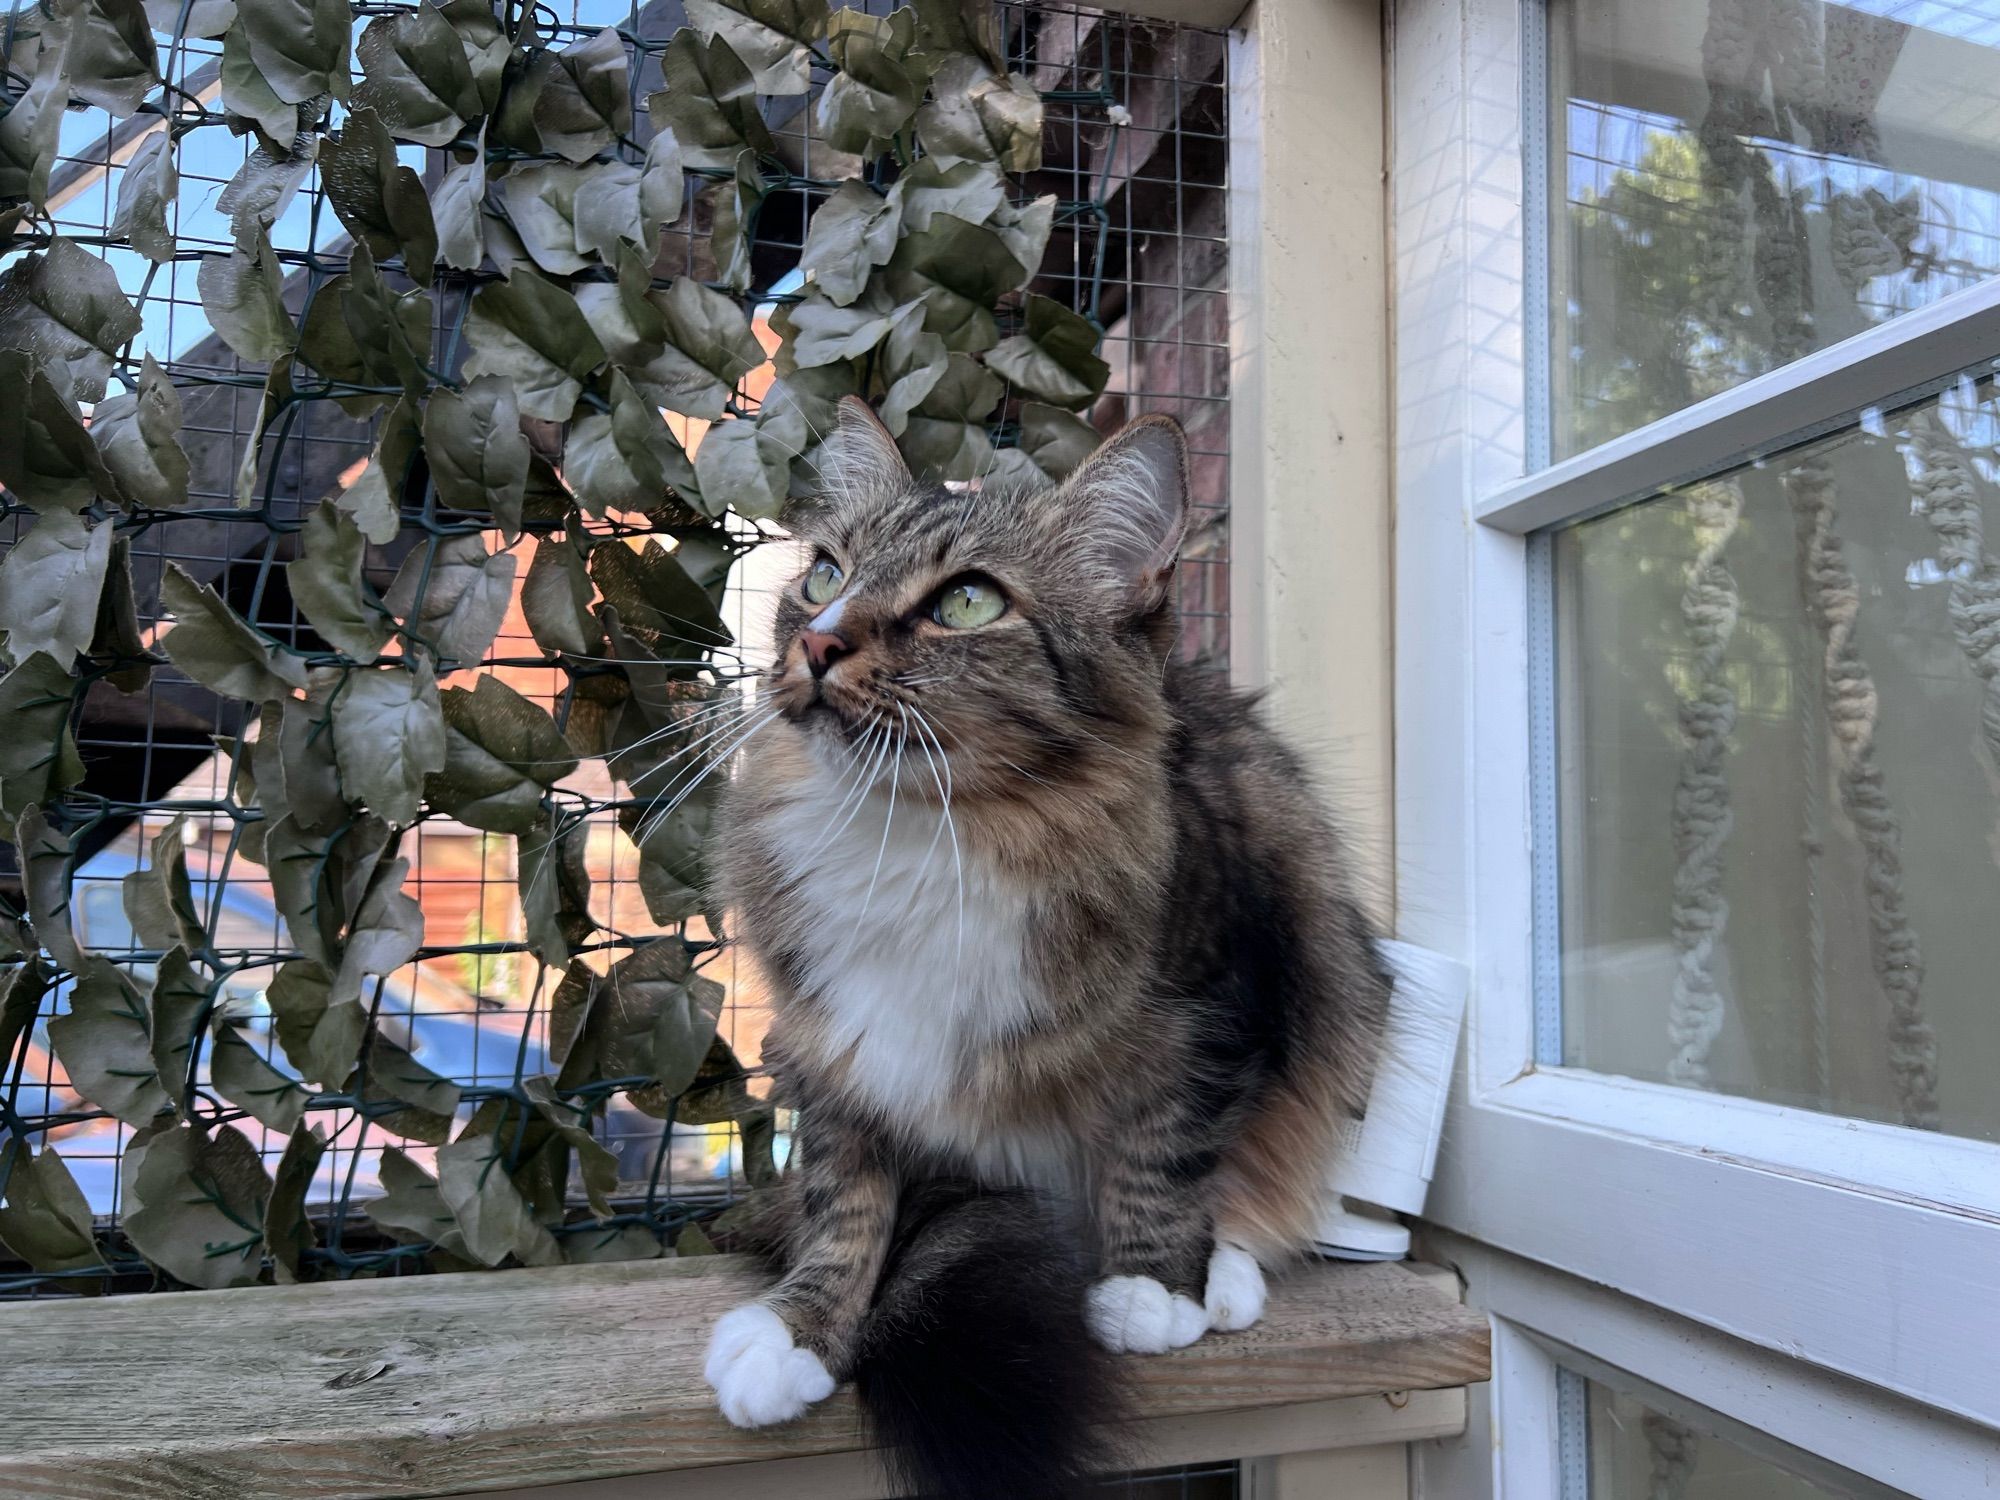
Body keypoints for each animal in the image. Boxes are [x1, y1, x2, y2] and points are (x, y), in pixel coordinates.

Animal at [704, 400, 1392, 1500]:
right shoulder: (830, 1051)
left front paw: (1154, 1287)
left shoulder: (1218, 1002)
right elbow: (844, 1206)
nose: (814, 640)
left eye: (967, 602)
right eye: (821, 574)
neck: (923, 834)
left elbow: (1165, 1150)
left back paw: (1220, 1271)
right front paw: (797, 1332)